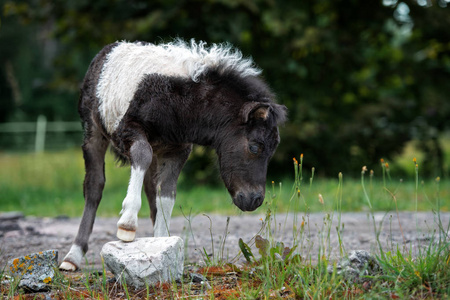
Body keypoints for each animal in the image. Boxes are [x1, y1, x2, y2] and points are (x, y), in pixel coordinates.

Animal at [59, 38, 286, 270]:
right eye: (255, 146)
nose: (255, 199)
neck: (179, 103)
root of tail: (108, 50)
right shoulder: (128, 129)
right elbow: (142, 155)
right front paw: (127, 224)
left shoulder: (178, 149)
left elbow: (166, 193)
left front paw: (161, 243)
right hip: (93, 131)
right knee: (94, 185)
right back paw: (72, 256)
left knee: (150, 187)